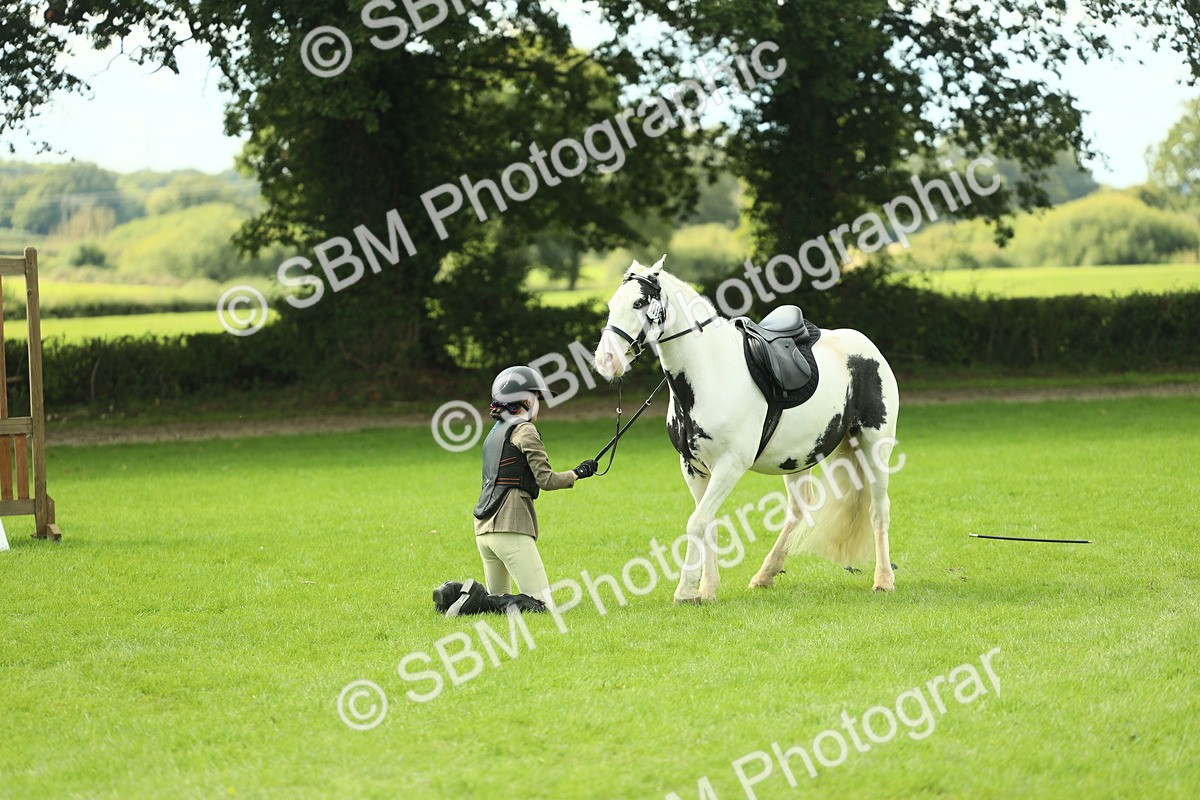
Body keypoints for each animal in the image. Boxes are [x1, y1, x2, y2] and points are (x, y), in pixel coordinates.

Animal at [592, 256, 900, 603]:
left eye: (638, 302)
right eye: (611, 304)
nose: (606, 360)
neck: (711, 371)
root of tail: (867, 347)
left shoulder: (730, 465)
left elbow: (696, 522)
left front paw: (686, 591)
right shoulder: (692, 467)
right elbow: (707, 522)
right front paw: (707, 589)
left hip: (875, 446)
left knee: (878, 509)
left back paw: (884, 579)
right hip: (799, 458)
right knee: (799, 510)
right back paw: (765, 575)